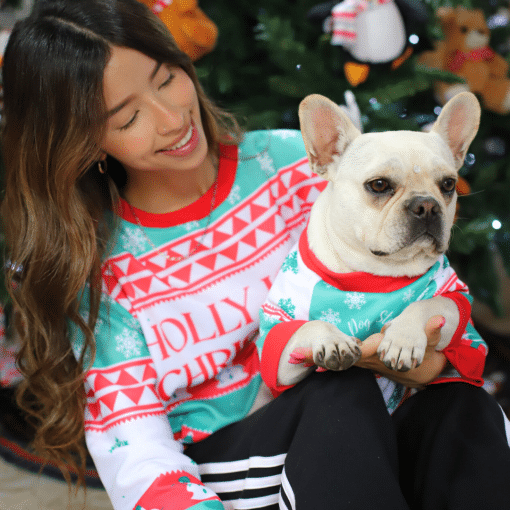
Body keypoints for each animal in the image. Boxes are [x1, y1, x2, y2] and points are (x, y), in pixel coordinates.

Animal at [276, 92, 480, 386]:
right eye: (379, 185)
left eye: (448, 185)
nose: (427, 205)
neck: (377, 270)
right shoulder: (279, 347)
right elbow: (308, 325)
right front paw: (333, 340)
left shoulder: (455, 300)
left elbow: (428, 303)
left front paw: (403, 338)